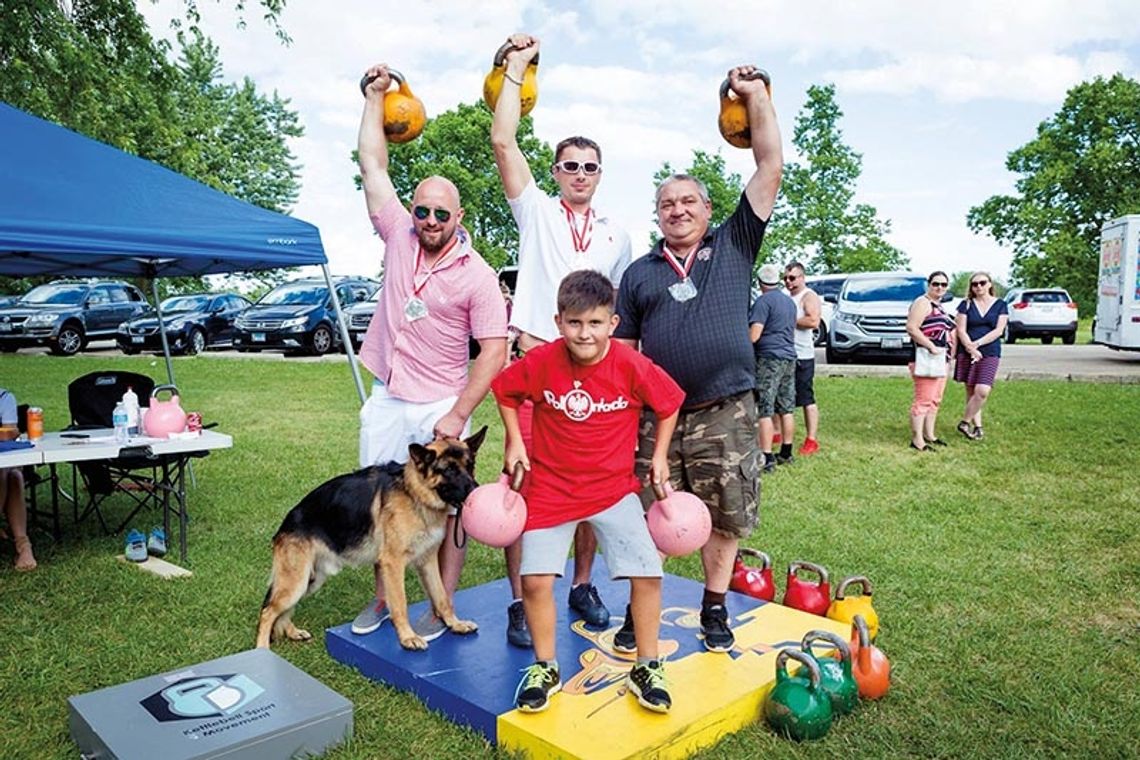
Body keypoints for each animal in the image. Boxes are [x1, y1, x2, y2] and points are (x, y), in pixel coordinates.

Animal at [254, 428, 485, 647]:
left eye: (470, 465)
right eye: (449, 470)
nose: (476, 490)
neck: (414, 492)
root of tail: (286, 523)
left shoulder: (427, 561)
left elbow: (442, 597)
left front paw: (455, 624)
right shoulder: (393, 563)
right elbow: (399, 603)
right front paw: (408, 638)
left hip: (310, 580)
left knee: (282, 612)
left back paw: (292, 632)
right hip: (297, 582)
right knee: (268, 611)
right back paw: (262, 649)